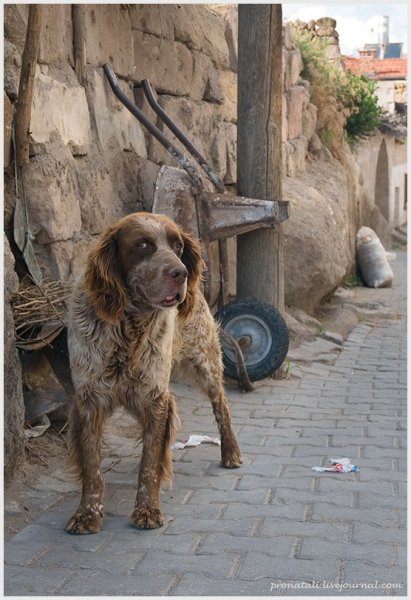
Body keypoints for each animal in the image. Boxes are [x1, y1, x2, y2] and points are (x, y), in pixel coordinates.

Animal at [66, 212, 243, 536]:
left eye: (177, 246)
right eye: (143, 245)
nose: (180, 273)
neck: (128, 325)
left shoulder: (156, 398)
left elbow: (149, 463)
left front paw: (147, 509)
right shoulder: (89, 400)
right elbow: (92, 468)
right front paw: (87, 513)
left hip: (205, 361)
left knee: (222, 407)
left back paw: (231, 453)